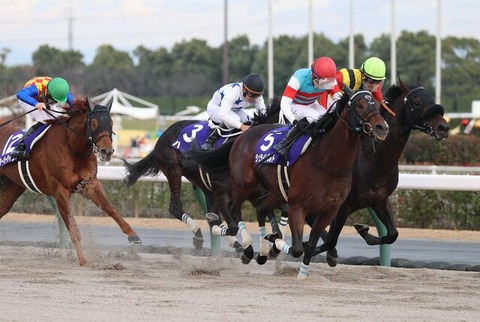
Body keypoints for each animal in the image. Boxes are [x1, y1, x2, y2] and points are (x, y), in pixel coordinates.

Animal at [0, 97, 142, 266]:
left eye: (111, 122)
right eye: (94, 123)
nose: (107, 151)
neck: (71, 147)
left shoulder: (89, 184)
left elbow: (110, 208)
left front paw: (133, 235)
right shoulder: (60, 190)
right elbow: (72, 226)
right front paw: (82, 259)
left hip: (11, 187)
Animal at [122, 99, 284, 250]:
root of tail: (163, 136)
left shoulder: (257, 194)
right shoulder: (223, 194)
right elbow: (231, 226)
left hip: (202, 182)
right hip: (173, 171)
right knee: (175, 207)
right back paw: (199, 234)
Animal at [189, 87, 388, 278]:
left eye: (377, 104)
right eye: (359, 105)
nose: (382, 127)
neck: (326, 161)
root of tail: (244, 134)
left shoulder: (330, 209)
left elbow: (310, 245)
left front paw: (302, 273)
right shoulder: (297, 206)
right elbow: (297, 247)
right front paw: (275, 243)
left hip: (274, 193)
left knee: (260, 208)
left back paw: (261, 250)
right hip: (243, 185)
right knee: (233, 209)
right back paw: (245, 246)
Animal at [312, 77, 450, 264]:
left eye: (432, 99)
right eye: (417, 102)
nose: (443, 128)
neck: (375, 160)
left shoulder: (380, 200)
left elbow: (393, 234)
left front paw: (364, 231)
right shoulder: (342, 205)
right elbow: (331, 239)